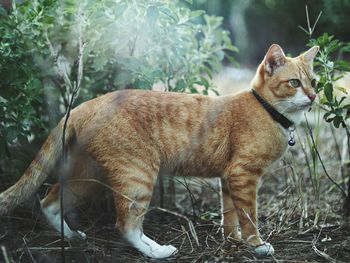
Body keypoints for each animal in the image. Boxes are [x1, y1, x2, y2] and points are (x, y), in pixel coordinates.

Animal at [0, 44, 318, 258]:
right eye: (294, 83)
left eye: (313, 81)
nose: (314, 96)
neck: (267, 111)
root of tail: (87, 104)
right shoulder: (244, 175)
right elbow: (249, 215)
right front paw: (257, 245)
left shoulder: (229, 178)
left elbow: (230, 216)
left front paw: (232, 241)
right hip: (137, 175)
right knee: (126, 224)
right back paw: (157, 251)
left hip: (88, 175)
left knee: (50, 201)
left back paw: (72, 236)